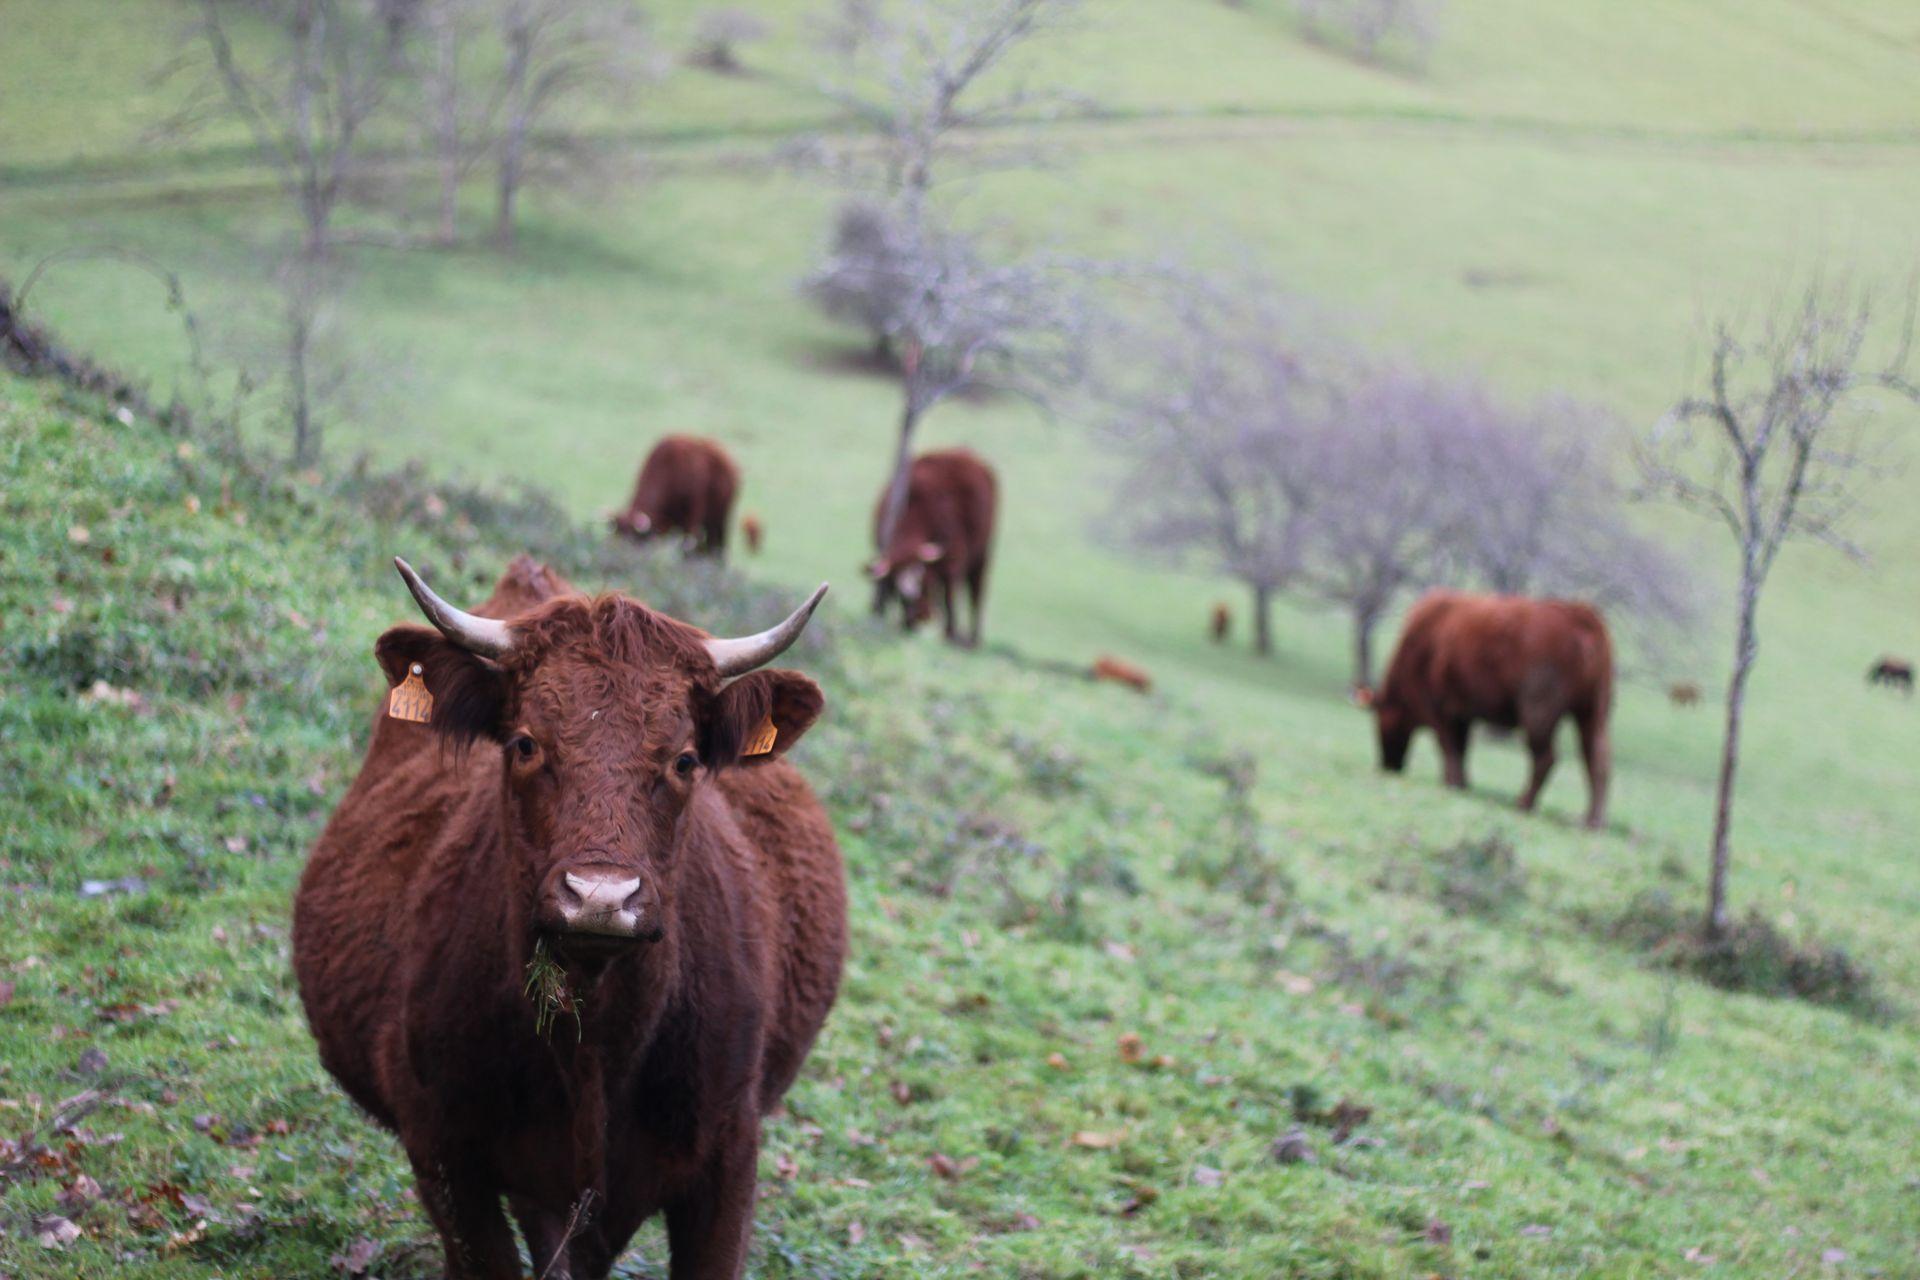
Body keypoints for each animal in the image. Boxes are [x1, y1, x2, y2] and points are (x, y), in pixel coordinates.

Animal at [291, 552, 848, 1280]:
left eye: (685, 759)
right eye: (526, 744)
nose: (601, 897)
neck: (597, 1044)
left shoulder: (728, 1155)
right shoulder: (444, 1150)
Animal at [867, 450, 998, 652]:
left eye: (922, 583)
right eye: (902, 596)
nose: (922, 617)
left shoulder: (953, 559)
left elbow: (950, 597)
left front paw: (950, 634)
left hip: (982, 557)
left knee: (976, 594)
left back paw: (972, 639)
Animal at [1374, 591, 1612, 832]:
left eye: (1381, 722)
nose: (1388, 766)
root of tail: (1579, 615)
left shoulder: (1439, 711)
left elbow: (1449, 747)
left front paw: (1451, 782)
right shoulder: (1462, 714)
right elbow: (1461, 749)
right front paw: (1462, 782)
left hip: (1538, 713)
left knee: (1546, 758)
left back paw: (1524, 803)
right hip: (1593, 713)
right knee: (1597, 760)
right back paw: (1592, 821)